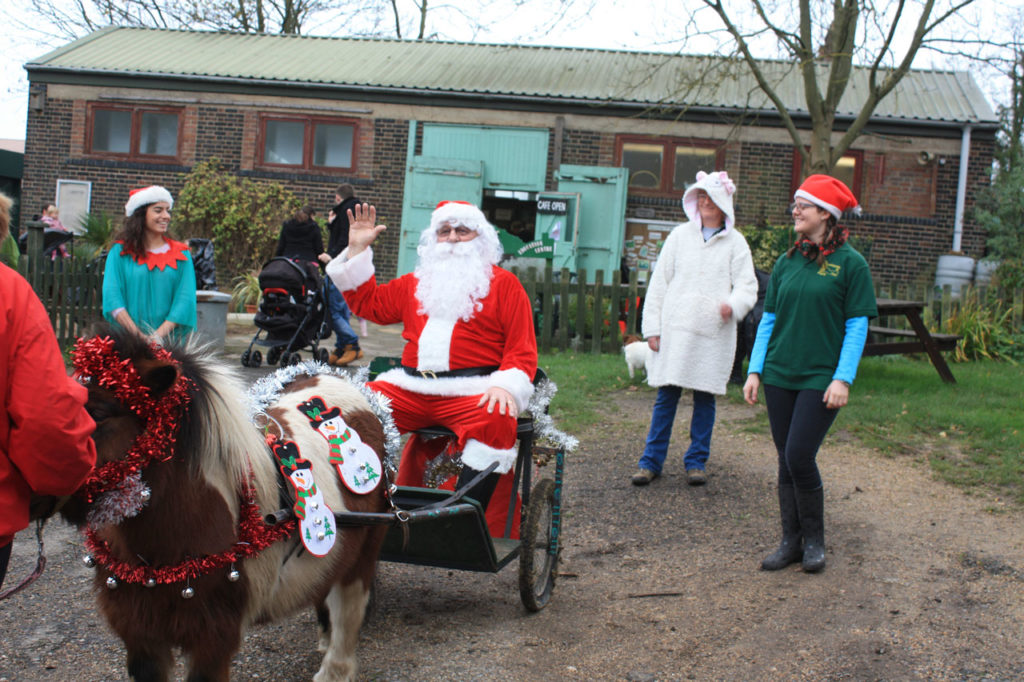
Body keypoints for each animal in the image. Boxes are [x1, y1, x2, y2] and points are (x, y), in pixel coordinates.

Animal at [57, 327, 391, 675]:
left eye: (97, 413)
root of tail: (350, 385)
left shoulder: (213, 639)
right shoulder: (140, 635)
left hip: (366, 549)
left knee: (348, 607)